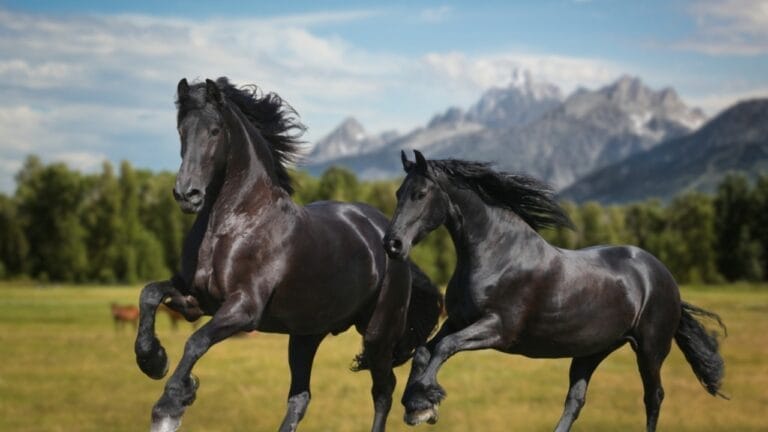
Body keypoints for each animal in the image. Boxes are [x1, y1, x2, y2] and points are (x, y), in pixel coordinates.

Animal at [133, 78, 442, 432]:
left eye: (214, 130)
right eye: (181, 129)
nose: (188, 194)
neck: (234, 224)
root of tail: (390, 237)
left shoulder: (244, 309)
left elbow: (196, 341)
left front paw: (170, 405)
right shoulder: (195, 301)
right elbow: (150, 293)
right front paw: (153, 360)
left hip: (378, 332)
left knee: (383, 390)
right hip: (306, 335)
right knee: (300, 398)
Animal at [383, 150, 727, 432]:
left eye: (420, 193)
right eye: (398, 192)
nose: (393, 244)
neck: (497, 254)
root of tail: (662, 275)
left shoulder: (498, 328)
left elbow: (445, 347)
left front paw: (424, 404)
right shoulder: (458, 320)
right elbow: (425, 350)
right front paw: (417, 405)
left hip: (650, 349)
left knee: (653, 397)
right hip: (592, 350)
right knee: (575, 400)